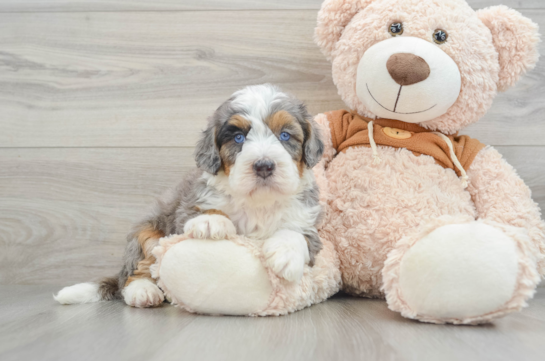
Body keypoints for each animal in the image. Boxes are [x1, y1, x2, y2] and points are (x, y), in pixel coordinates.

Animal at [56, 83, 324, 306]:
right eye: (238, 137)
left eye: (285, 135)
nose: (264, 166)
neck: (258, 202)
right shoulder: (186, 206)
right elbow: (200, 211)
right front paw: (211, 220)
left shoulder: (308, 221)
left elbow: (296, 233)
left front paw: (286, 255)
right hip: (147, 233)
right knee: (134, 272)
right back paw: (143, 291)